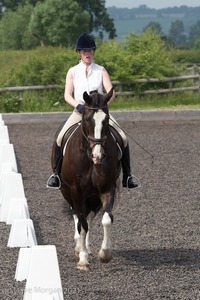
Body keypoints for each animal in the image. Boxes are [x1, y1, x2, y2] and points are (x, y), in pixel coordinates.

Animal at [56, 88, 122, 270]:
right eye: (87, 119)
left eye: (106, 120)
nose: (98, 156)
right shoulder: (76, 191)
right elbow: (82, 224)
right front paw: (83, 260)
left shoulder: (107, 188)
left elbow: (106, 219)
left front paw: (105, 254)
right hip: (68, 192)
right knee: (78, 217)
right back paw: (79, 248)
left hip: (93, 196)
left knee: (89, 216)